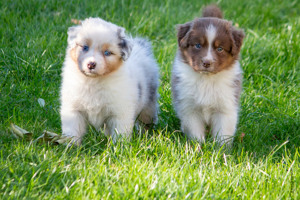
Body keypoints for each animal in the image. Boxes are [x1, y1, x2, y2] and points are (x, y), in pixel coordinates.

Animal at [172, 5, 245, 146]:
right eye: (198, 45)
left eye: (220, 49)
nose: (206, 62)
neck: (206, 79)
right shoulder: (189, 108)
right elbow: (195, 132)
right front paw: (197, 147)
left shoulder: (225, 107)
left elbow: (223, 133)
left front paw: (221, 149)